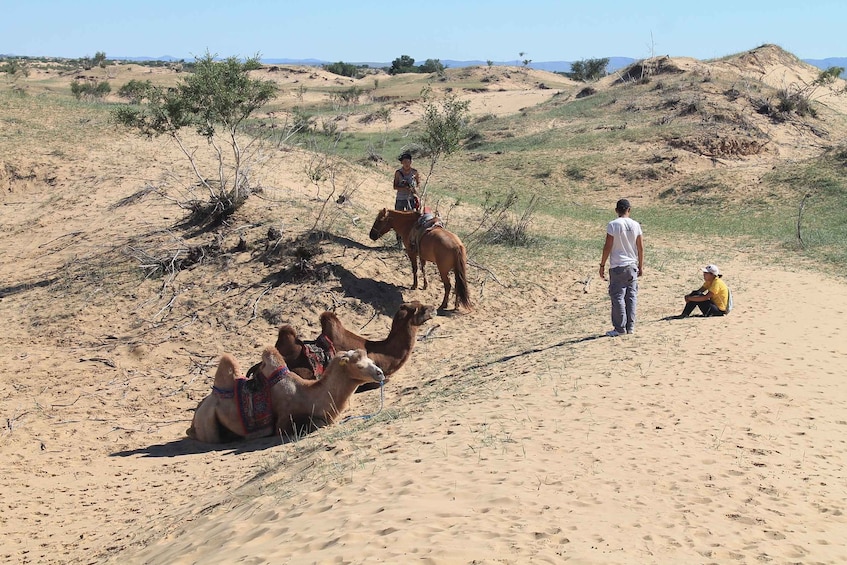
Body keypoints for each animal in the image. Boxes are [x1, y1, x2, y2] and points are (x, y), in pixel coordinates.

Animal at [189, 346, 384, 442]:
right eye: (359, 365)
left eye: (371, 360)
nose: (380, 373)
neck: (307, 395)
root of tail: (198, 410)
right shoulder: (283, 423)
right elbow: (318, 423)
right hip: (208, 424)